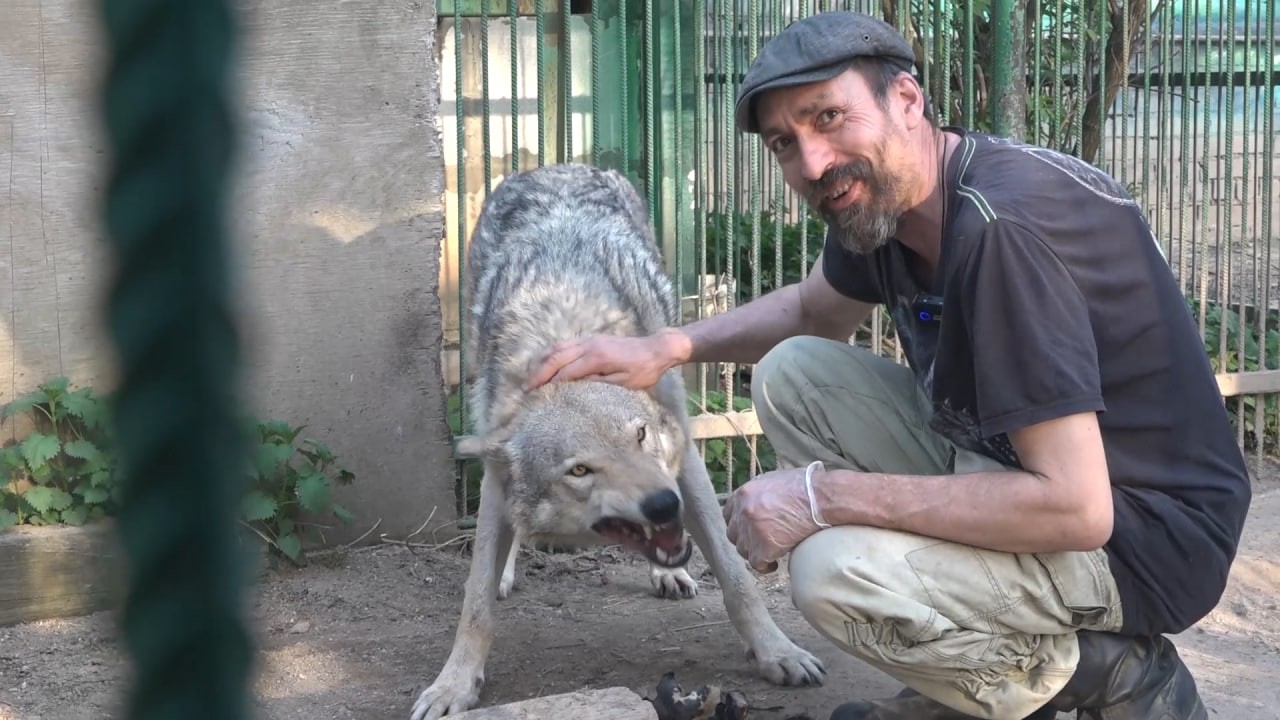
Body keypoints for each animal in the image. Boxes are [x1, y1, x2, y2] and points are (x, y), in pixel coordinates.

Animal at [410, 164, 826, 720]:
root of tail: (557, 167)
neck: (561, 342)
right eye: (579, 470)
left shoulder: (686, 463)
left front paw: (778, 652)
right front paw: (453, 684)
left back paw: (669, 575)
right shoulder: (497, 476)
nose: (662, 504)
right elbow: (475, 599)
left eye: (641, 435)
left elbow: (737, 579)